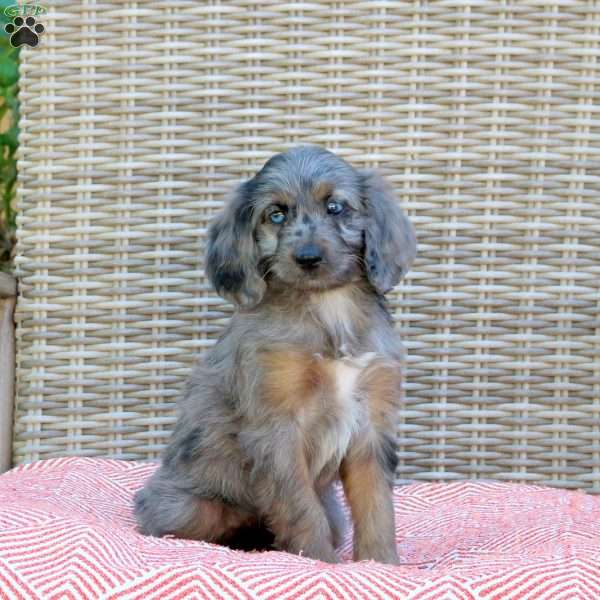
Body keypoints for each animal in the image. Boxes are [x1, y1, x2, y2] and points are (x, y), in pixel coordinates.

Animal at [136, 145, 418, 564]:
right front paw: (319, 562)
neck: (328, 308)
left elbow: (377, 507)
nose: (307, 257)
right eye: (276, 214)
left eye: (335, 207)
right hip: (188, 508)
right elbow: (302, 509)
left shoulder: (371, 420)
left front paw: (381, 564)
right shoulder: (276, 426)